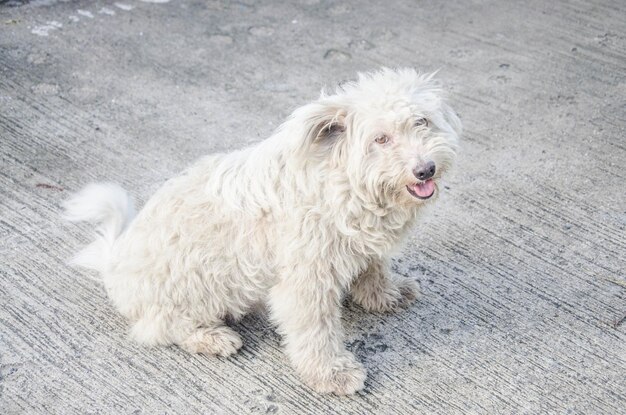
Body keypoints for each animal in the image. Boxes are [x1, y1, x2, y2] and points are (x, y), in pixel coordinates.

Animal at [64, 68, 458, 396]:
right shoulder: (304, 281)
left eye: (421, 122)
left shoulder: (363, 246)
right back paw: (212, 338)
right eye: (381, 139)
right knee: (162, 328)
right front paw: (331, 374)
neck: (344, 180)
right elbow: (315, 332)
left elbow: (374, 269)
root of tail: (113, 265)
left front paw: (386, 295)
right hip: (198, 289)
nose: (425, 169)